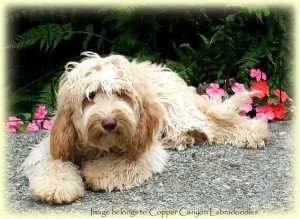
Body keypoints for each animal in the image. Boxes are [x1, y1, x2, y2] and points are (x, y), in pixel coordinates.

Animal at [21, 51, 270, 204]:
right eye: (89, 96)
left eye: (121, 93)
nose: (109, 123)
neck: (100, 145)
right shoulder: (55, 144)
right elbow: (52, 164)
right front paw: (56, 187)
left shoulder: (144, 146)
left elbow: (124, 162)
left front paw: (96, 173)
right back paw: (183, 139)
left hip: (176, 113)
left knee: (215, 123)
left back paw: (255, 132)